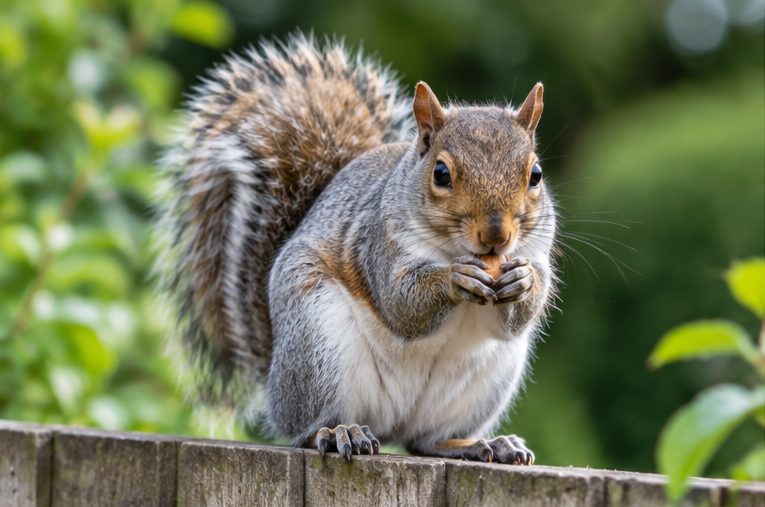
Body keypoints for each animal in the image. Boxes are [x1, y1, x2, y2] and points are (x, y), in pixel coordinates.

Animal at [156, 33, 557, 464]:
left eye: (535, 174)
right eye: (441, 173)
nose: (497, 235)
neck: (456, 249)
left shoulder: (537, 248)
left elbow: (516, 317)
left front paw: (524, 280)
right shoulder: (377, 242)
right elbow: (401, 304)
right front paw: (455, 278)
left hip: (487, 379)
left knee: (425, 440)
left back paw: (481, 444)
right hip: (317, 344)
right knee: (305, 428)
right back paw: (336, 432)